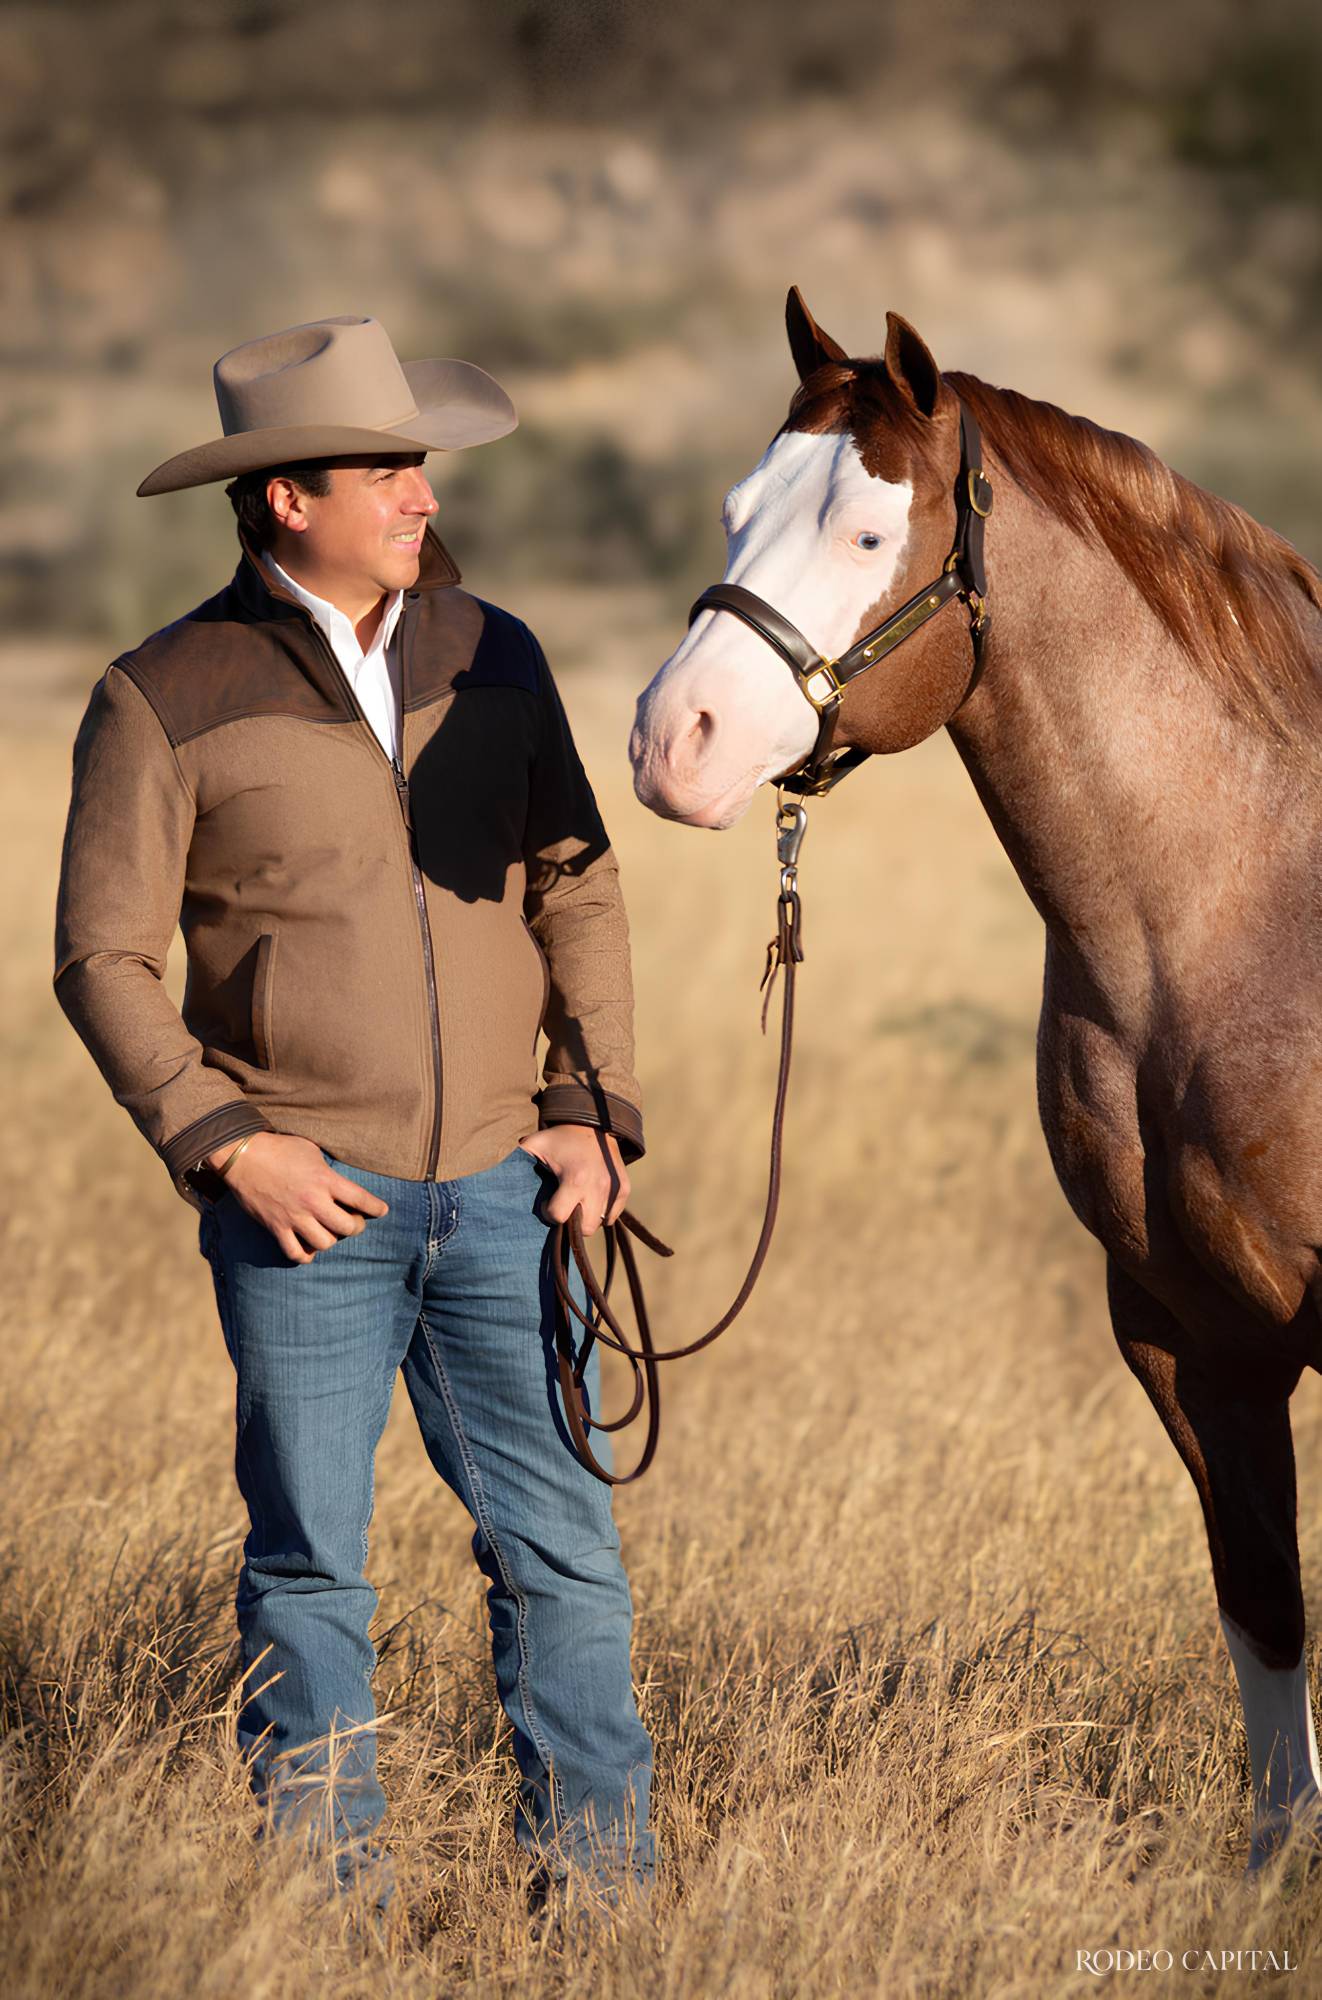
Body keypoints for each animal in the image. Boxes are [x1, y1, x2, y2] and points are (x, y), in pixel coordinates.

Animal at [629, 287, 1322, 1870]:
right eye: (734, 508)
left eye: (866, 535)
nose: (669, 742)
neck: (1240, 915)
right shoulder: (1188, 1336)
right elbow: (1264, 1609)